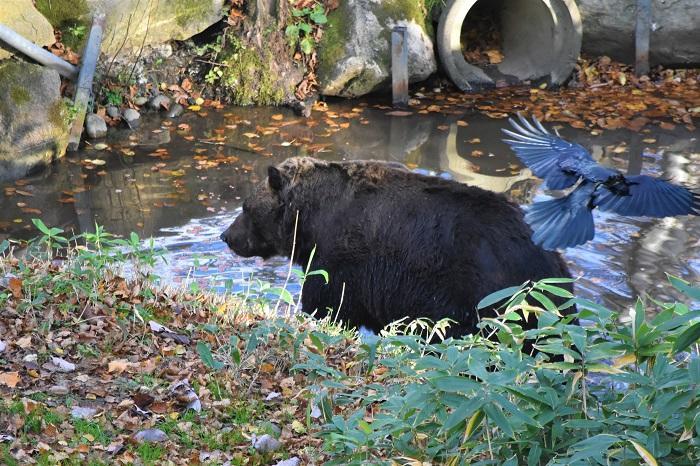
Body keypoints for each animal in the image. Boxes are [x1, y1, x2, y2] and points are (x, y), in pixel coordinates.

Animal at [220, 158, 576, 336]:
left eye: (245, 208)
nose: (226, 236)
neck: (311, 220)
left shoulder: (343, 264)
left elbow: (328, 306)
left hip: (488, 296)